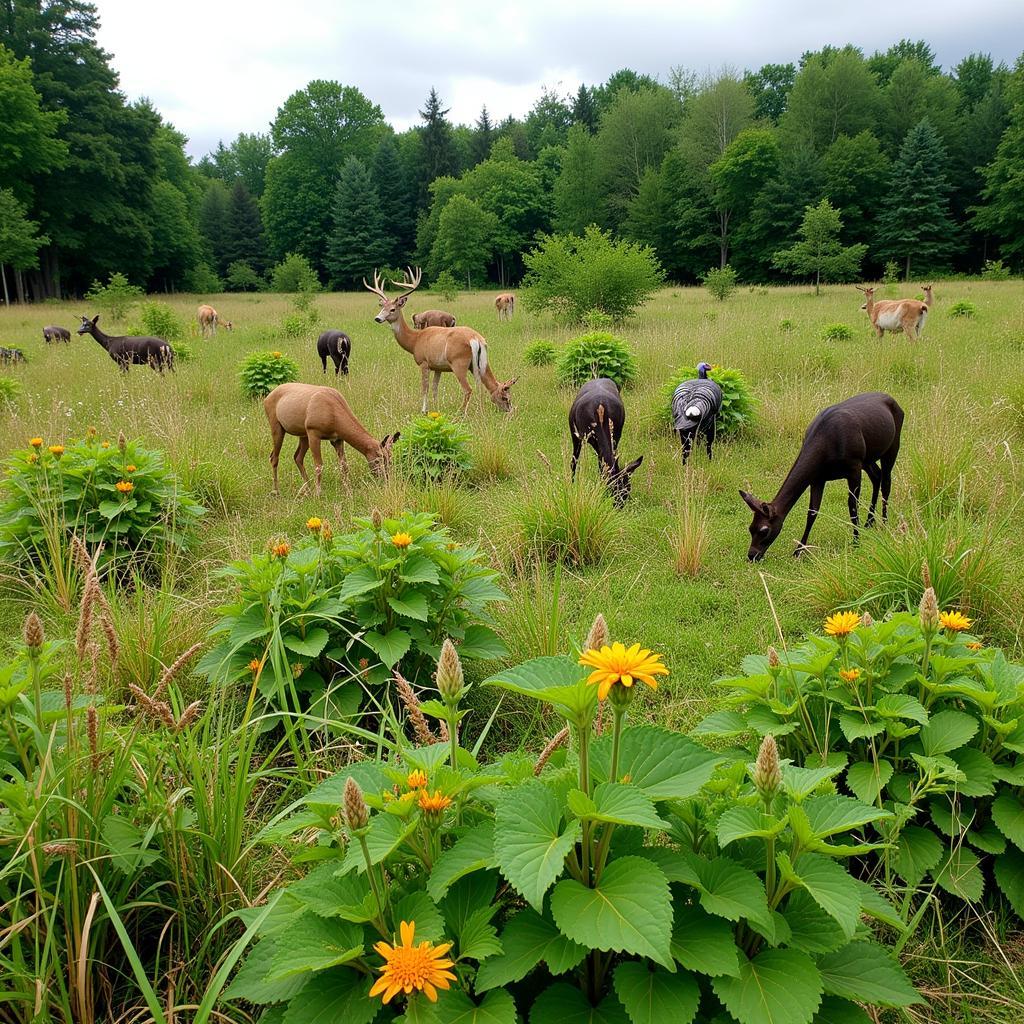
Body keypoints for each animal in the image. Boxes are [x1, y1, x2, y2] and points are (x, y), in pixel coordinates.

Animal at [262, 382, 397, 497]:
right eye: (378, 460)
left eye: (390, 459)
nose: (386, 478)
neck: (334, 417)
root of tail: (266, 399)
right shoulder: (313, 432)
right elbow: (319, 465)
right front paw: (318, 494)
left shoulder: (337, 439)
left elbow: (344, 465)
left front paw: (348, 492)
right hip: (277, 426)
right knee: (274, 457)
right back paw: (276, 491)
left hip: (303, 434)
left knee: (297, 457)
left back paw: (307, 489)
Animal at [362, 270, 520, 417]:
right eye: (382, 307)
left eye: (393, 309)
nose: (377, 318)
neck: (415, 340)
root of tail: (475, 339)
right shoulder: (438, 367)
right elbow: (434, 388)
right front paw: (436, 408)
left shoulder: (424, 362)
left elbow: (425, 387)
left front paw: (424, 410)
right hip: (477, 363)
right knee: (479, 385)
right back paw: (478, 410)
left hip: (458, 363)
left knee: (468, 389)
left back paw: (461, 413)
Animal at [737, 393, 905, 561]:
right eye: (750, 528)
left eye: (764, 530)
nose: (752, 555)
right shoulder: (818, 478)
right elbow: (812, 512)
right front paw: (799, 550)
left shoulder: (854, 466)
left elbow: (852, 505)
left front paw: (856, 542)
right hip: (868, 458)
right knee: (877, 476)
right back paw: (869, 522)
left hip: (892, 444)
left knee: (886, 482)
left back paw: (884, 524)